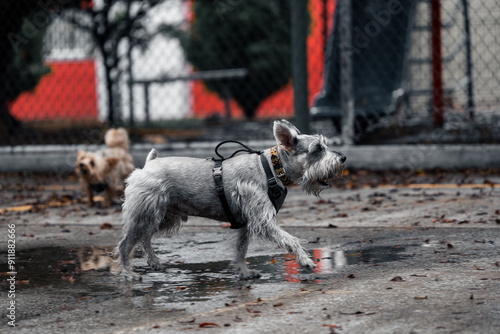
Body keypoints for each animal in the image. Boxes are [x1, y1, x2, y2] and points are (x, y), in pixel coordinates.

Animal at [117, 118, 346, 280]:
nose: (342, 158)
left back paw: (153, 261)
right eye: (317, 149)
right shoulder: (263, 221)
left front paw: (244, 272)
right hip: (144, 215)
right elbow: (290, 239)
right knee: (126, 243)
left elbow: (240, 250)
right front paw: (305, 260)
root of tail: (148, 165)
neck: (272, 169)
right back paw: (128, 272)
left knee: (145, 237)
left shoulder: (246, 223)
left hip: (164, 217)